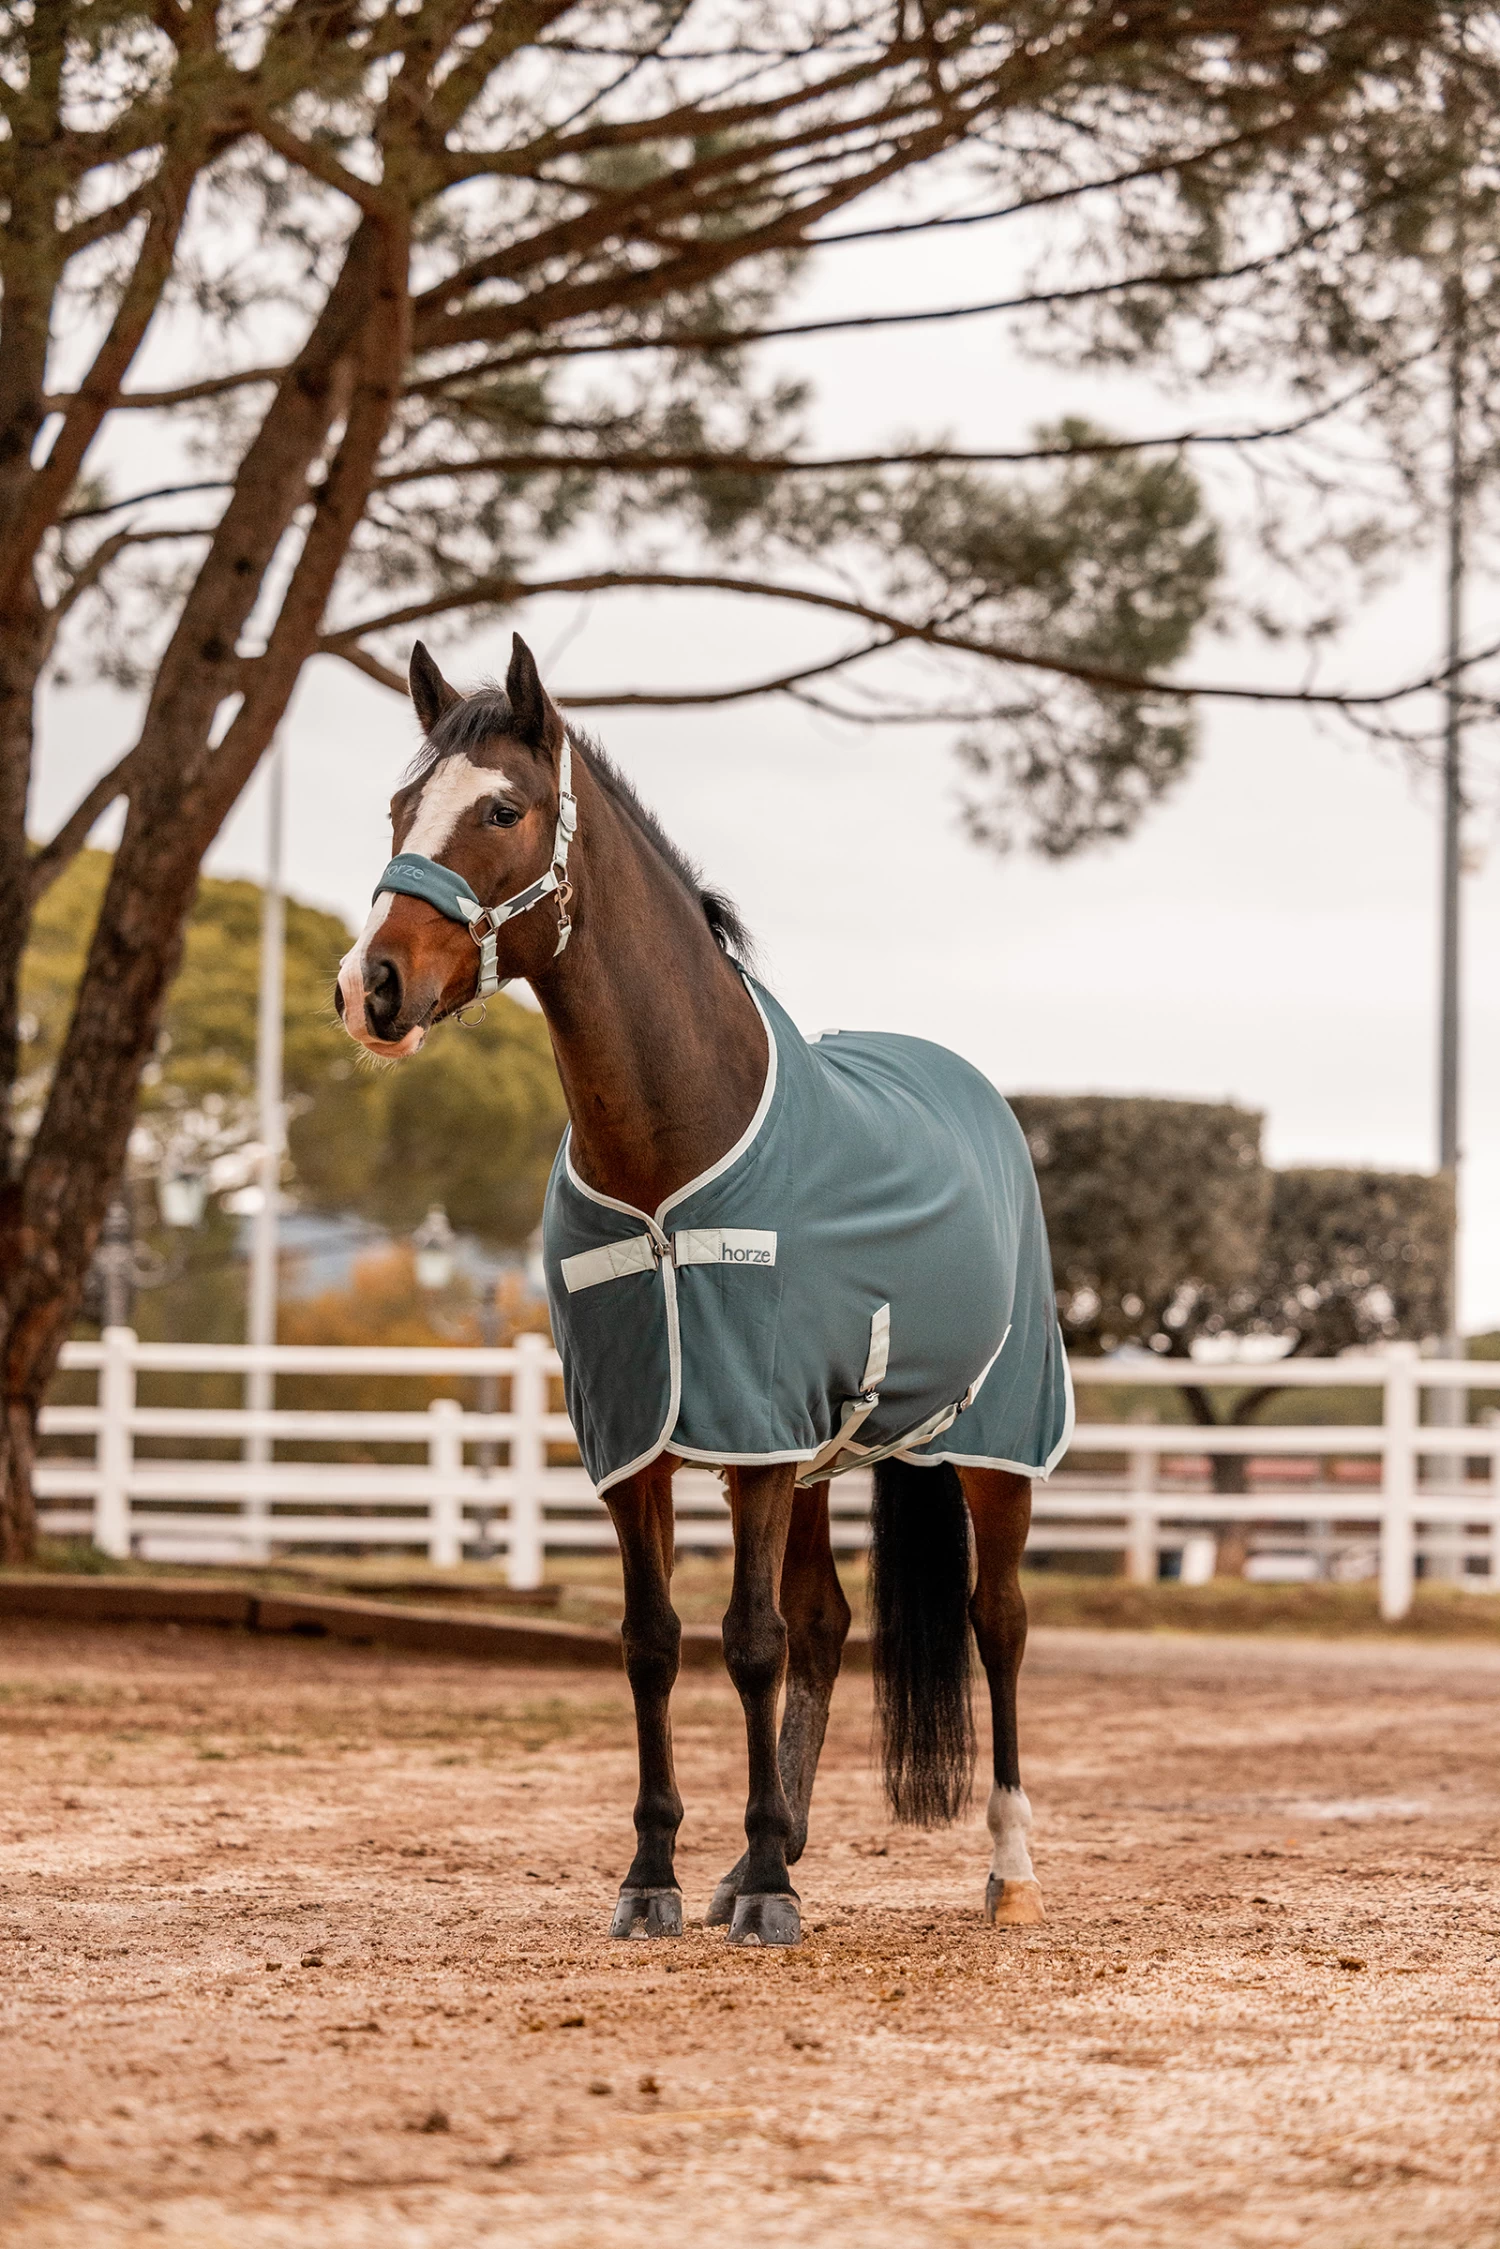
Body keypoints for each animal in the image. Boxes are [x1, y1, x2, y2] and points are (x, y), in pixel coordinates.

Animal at [336, 634, 1073, 1948]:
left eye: (502, 809)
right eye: (396, 806)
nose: (369, 985)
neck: (673, 1147)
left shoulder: (756, 1432)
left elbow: (749, 1639)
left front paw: (770, 1883)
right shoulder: (646, 1435)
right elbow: (655, 1641)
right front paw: (664, 1873)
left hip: (991, 1442)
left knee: (998, 1621)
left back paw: (1006, 1868)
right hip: (823, 1451)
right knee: (831, 1624)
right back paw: (759, 1854)